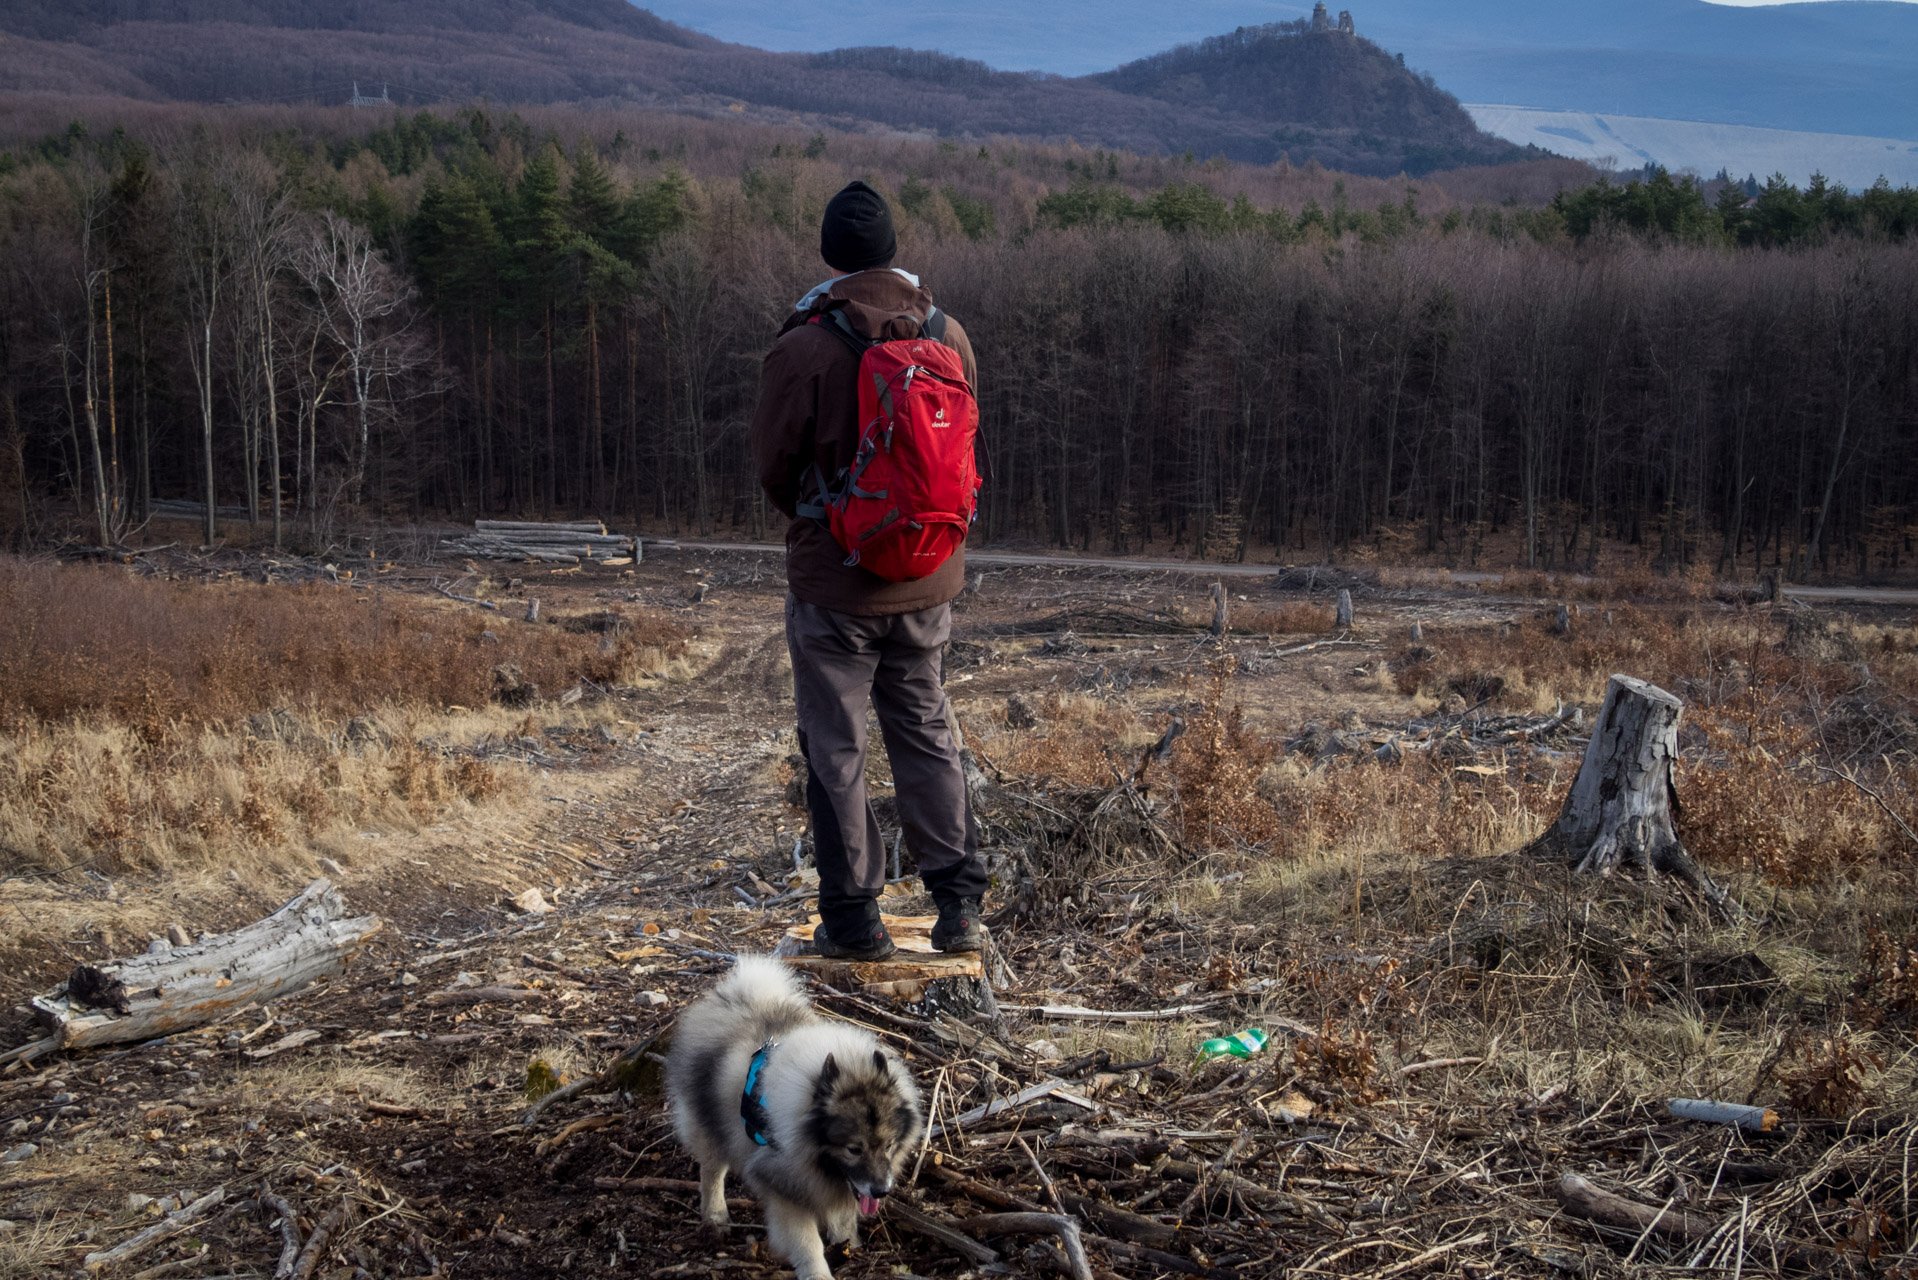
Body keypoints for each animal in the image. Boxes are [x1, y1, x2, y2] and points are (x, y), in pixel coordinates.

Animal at [667, 955, 920, 1274]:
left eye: (888, 1146)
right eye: (854, 1149)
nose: (881, 1191)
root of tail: (734, 998)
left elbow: (842, 1216)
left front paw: (848, 1243)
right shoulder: (784, 1186)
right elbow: (807, 1241)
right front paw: (818, 1273)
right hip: (710, 1126)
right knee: (712, 1172)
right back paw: (715, 1216)